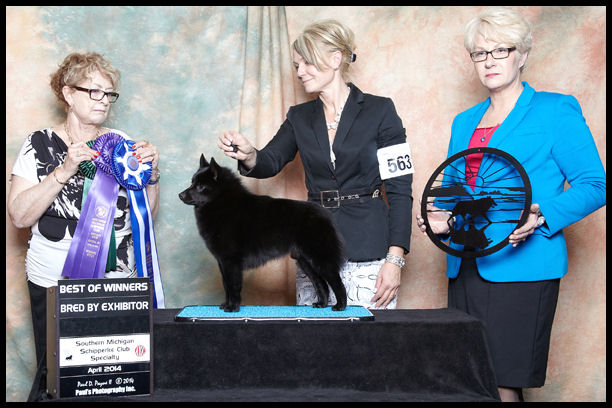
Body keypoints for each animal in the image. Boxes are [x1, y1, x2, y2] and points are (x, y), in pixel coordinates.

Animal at [179, 154, 347, 312]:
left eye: (201, 186)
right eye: (192, 182)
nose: (180, 195)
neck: (223, 204)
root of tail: (324, 213)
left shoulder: (231, 261)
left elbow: (233, 287)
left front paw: (232, 307)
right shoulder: (222, 262)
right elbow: (226, 286)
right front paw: (226, 305)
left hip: (320, 258)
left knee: (337, 283)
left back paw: (340, 306)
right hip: (305, 261)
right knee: (322, 284)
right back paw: (321, 304)